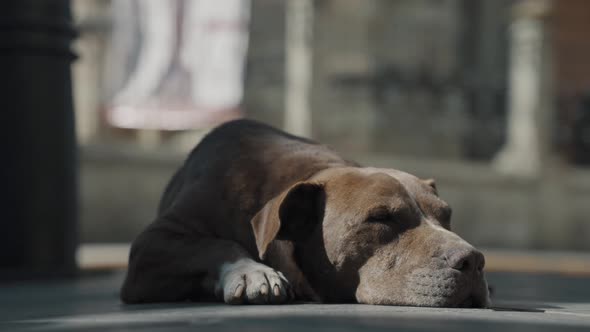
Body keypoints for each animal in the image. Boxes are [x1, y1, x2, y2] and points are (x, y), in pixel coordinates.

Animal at [120, 118, 490, 306]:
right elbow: (215, 243)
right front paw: (251, 271)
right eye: (381, 218)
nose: (473, 260)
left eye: (447, 216)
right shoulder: (151, 246)